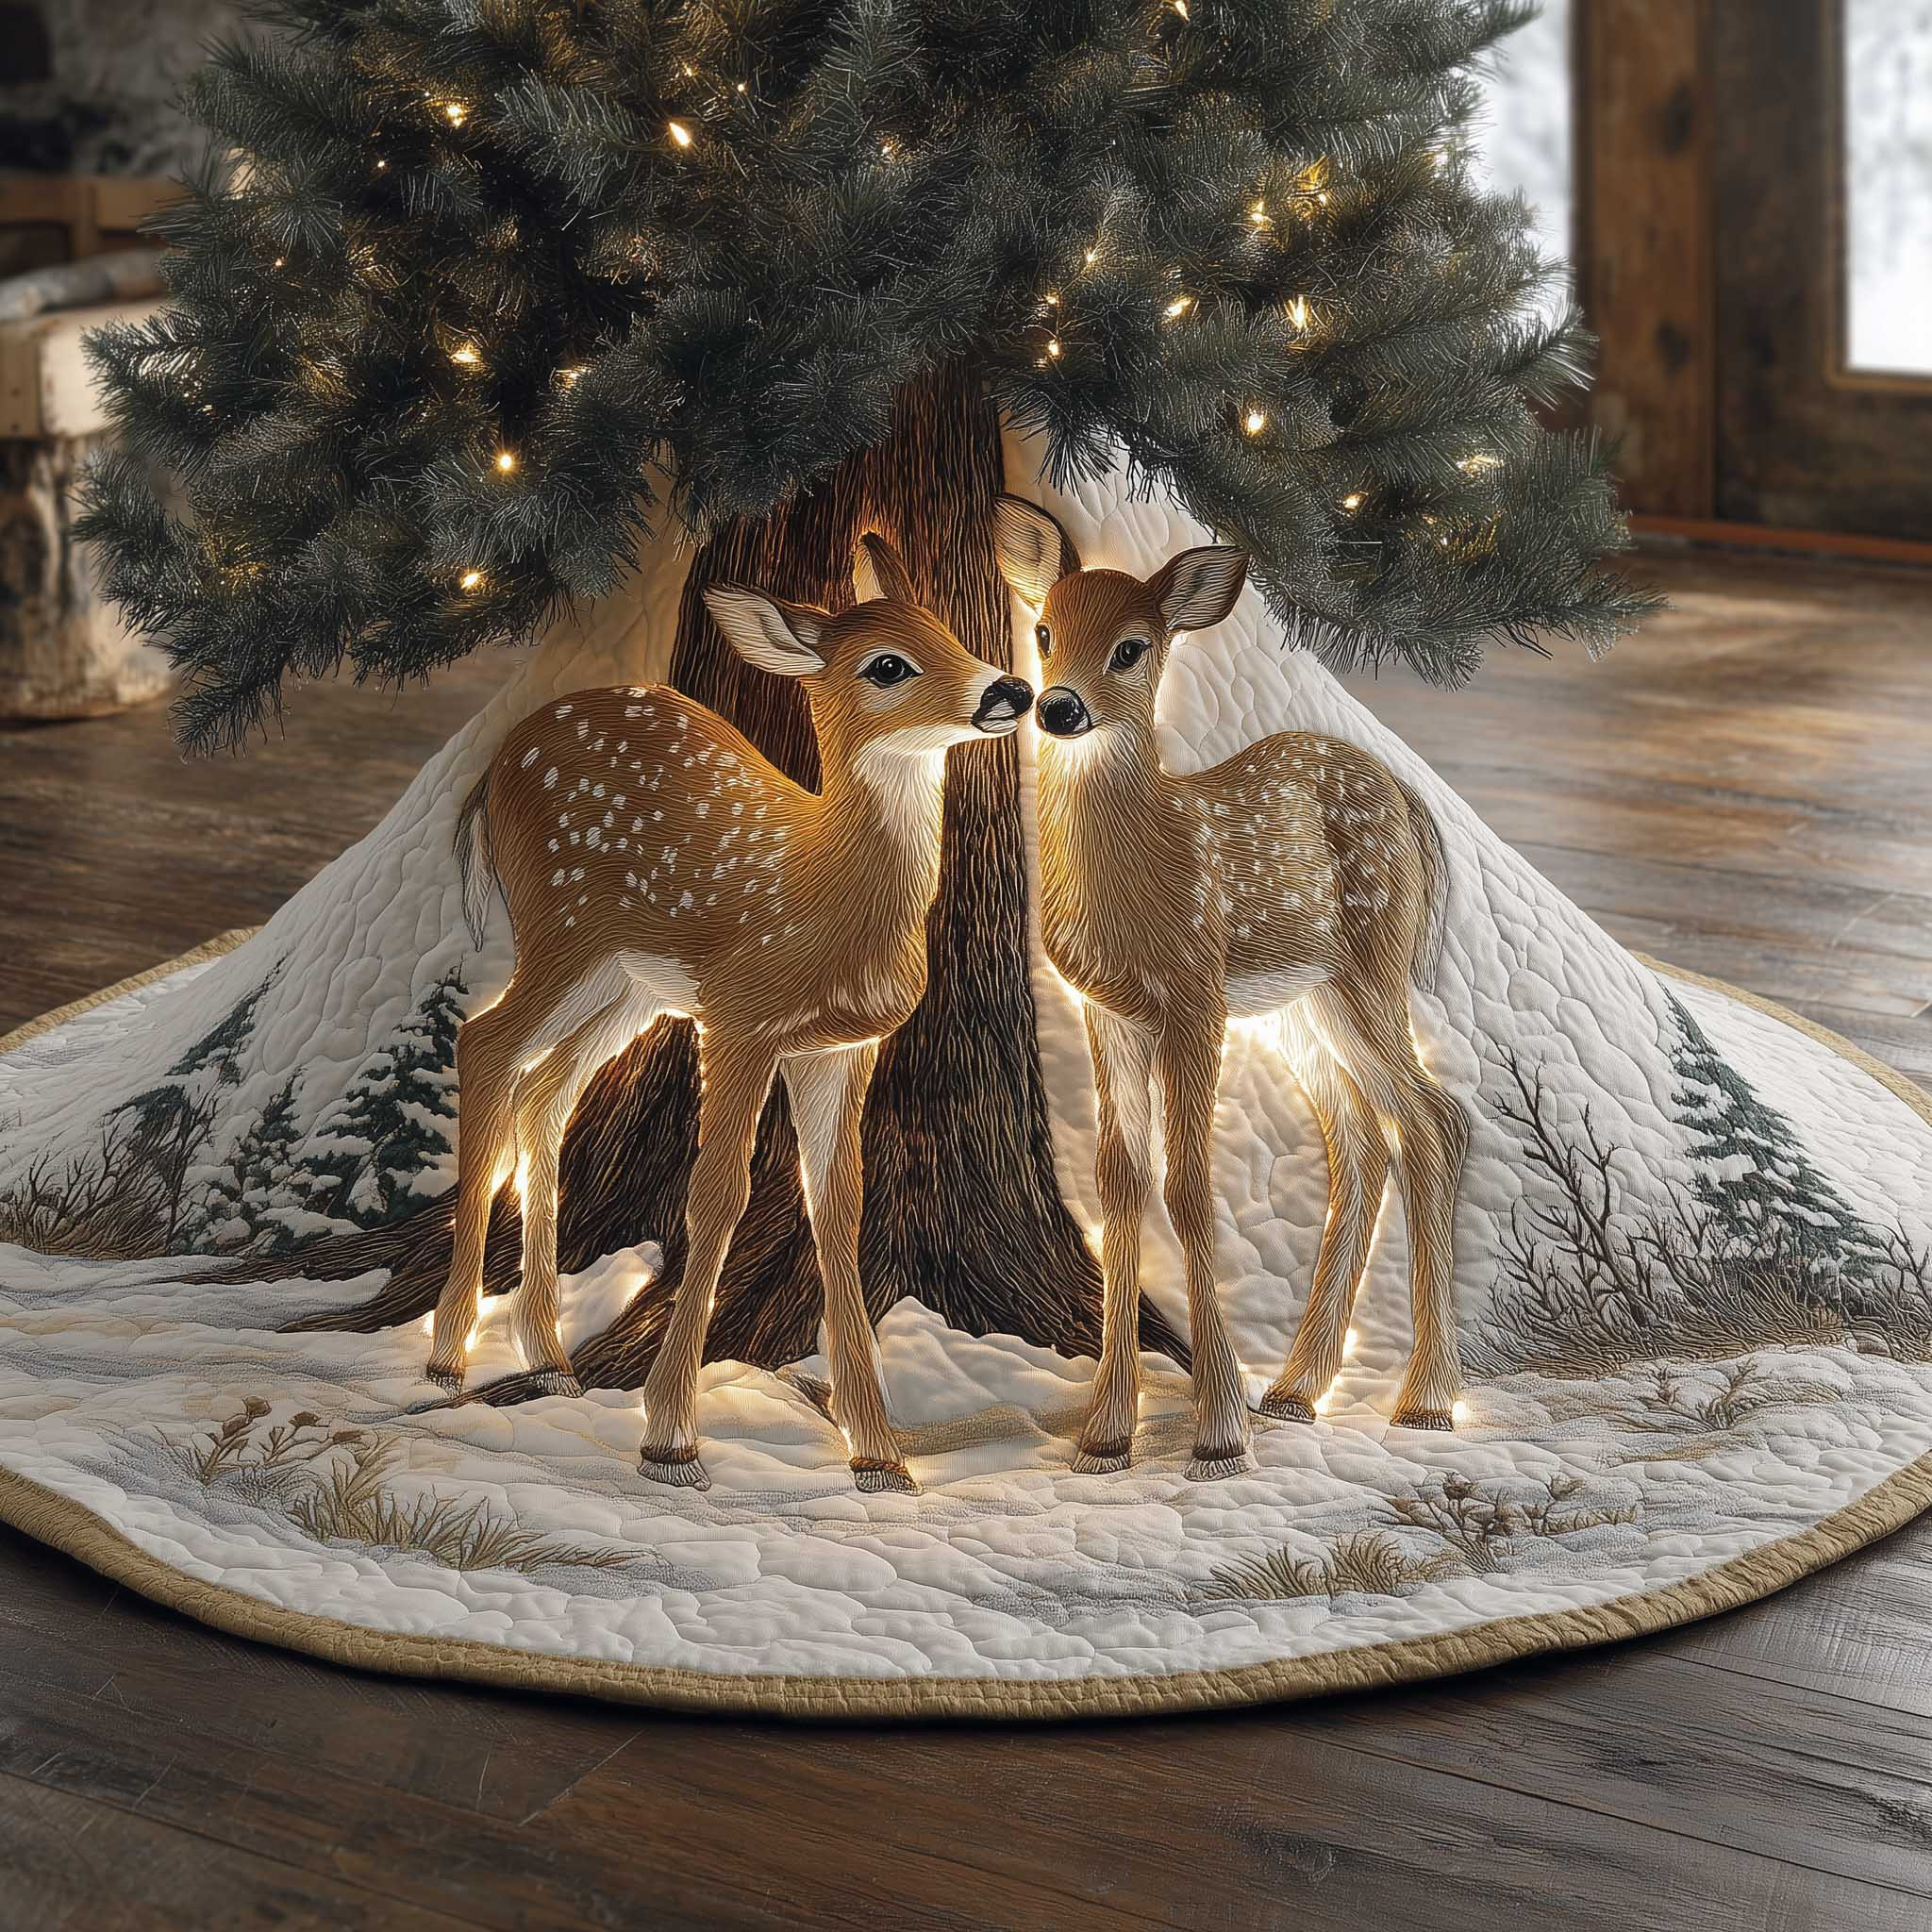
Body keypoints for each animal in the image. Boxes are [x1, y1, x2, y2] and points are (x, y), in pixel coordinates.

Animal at [426, 532, 1033, 1494]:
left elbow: (838, 1209)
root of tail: (493, 769)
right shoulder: (740, 1018)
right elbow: (717, 1197)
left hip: (629, 987)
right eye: (888, 665)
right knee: (484, 1042)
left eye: (948, 630)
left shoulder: (843, 1047)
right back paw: (449, 1354)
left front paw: (879, 1456)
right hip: (564, 930)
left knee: (546, 1087)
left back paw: (549, 1357)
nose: (1010, 691)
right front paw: (671, 1438)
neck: (828, 895)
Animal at [993, 494, 1468, 1480]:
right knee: (1362, 1139)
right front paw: (1106, 1436)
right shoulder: (1109, 1011)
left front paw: (1216, 1434)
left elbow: (1188, 1183)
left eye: (1133, 647)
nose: (1057, 707)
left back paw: (1428, 1401)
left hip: (1369, 966)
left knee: (1434, 1119)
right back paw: (1295, 1390)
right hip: (1299, 1009)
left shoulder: (1194, 995)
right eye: (1044, 630)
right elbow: (1120, 1184)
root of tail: (1409, 802)